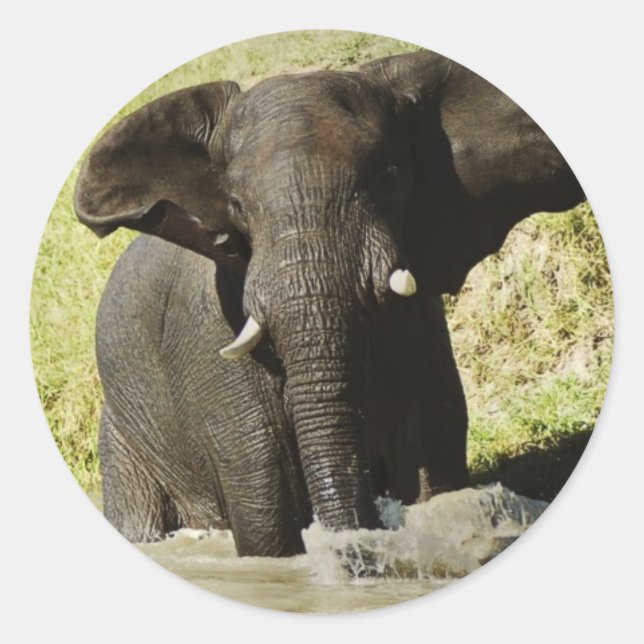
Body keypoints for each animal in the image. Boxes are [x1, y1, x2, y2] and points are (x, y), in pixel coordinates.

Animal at [74, 51, 585, 557]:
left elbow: (429, 461)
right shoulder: (210, 339)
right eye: (237, 206)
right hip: (125, 439)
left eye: (389, 178)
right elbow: (266, 508)